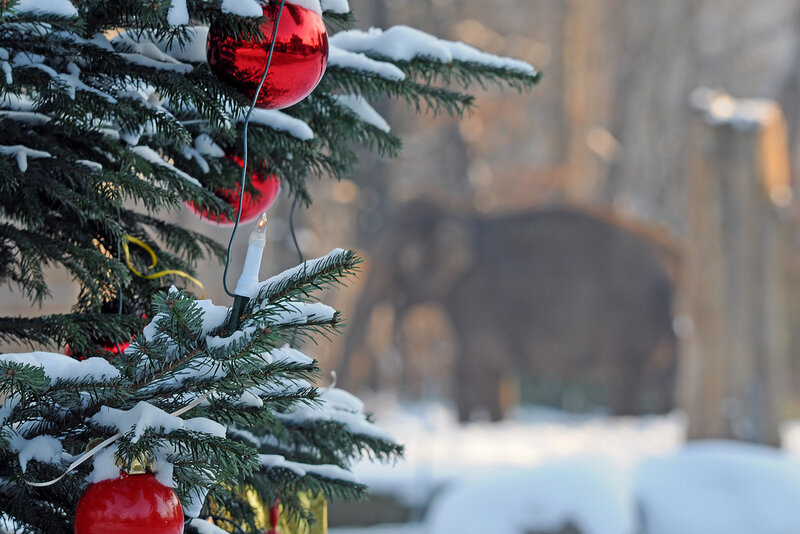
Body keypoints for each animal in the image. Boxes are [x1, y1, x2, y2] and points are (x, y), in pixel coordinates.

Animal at [339, 199, 679, 421]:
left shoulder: (476, 300)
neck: (461, 215)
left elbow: (471, 366)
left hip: (633, 320)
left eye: (405, 258)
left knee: (629, 380)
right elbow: (493, 371)